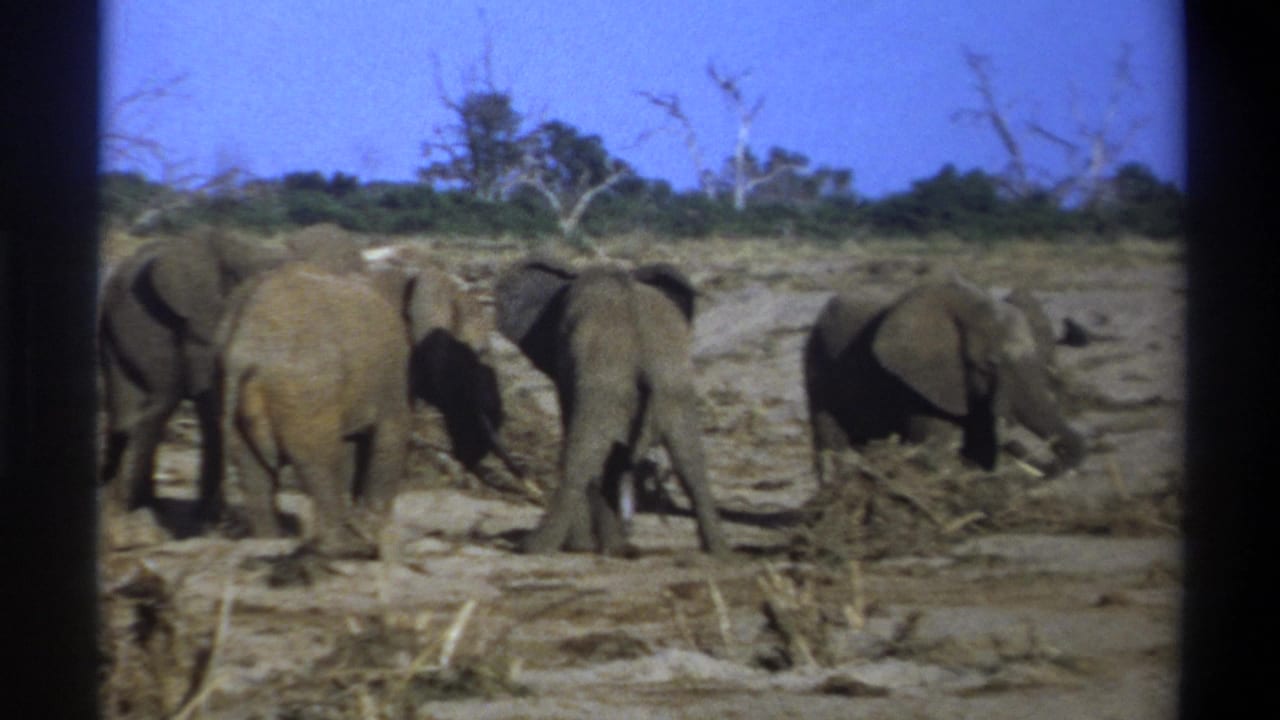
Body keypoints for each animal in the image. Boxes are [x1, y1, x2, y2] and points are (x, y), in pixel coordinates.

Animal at [97, 227, 288, 524]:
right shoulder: (198, 321)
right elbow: (211, 405)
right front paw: (210, 521)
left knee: (126, 411)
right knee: (154, 406)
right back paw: (136, 508)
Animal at [494, 255, 729, 556]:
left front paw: (586, 546)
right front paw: (612, 546)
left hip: (608, 379)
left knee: (584, 456)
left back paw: (539, 547)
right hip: (673, 381)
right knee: (690, 459)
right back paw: (719, 552)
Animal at [803, 274, 1086, 485]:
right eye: (990, 365)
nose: (1011, 439)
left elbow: (977, 443)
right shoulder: (919, 381)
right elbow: (937, 445)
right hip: (817, 363)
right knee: (831, 437)